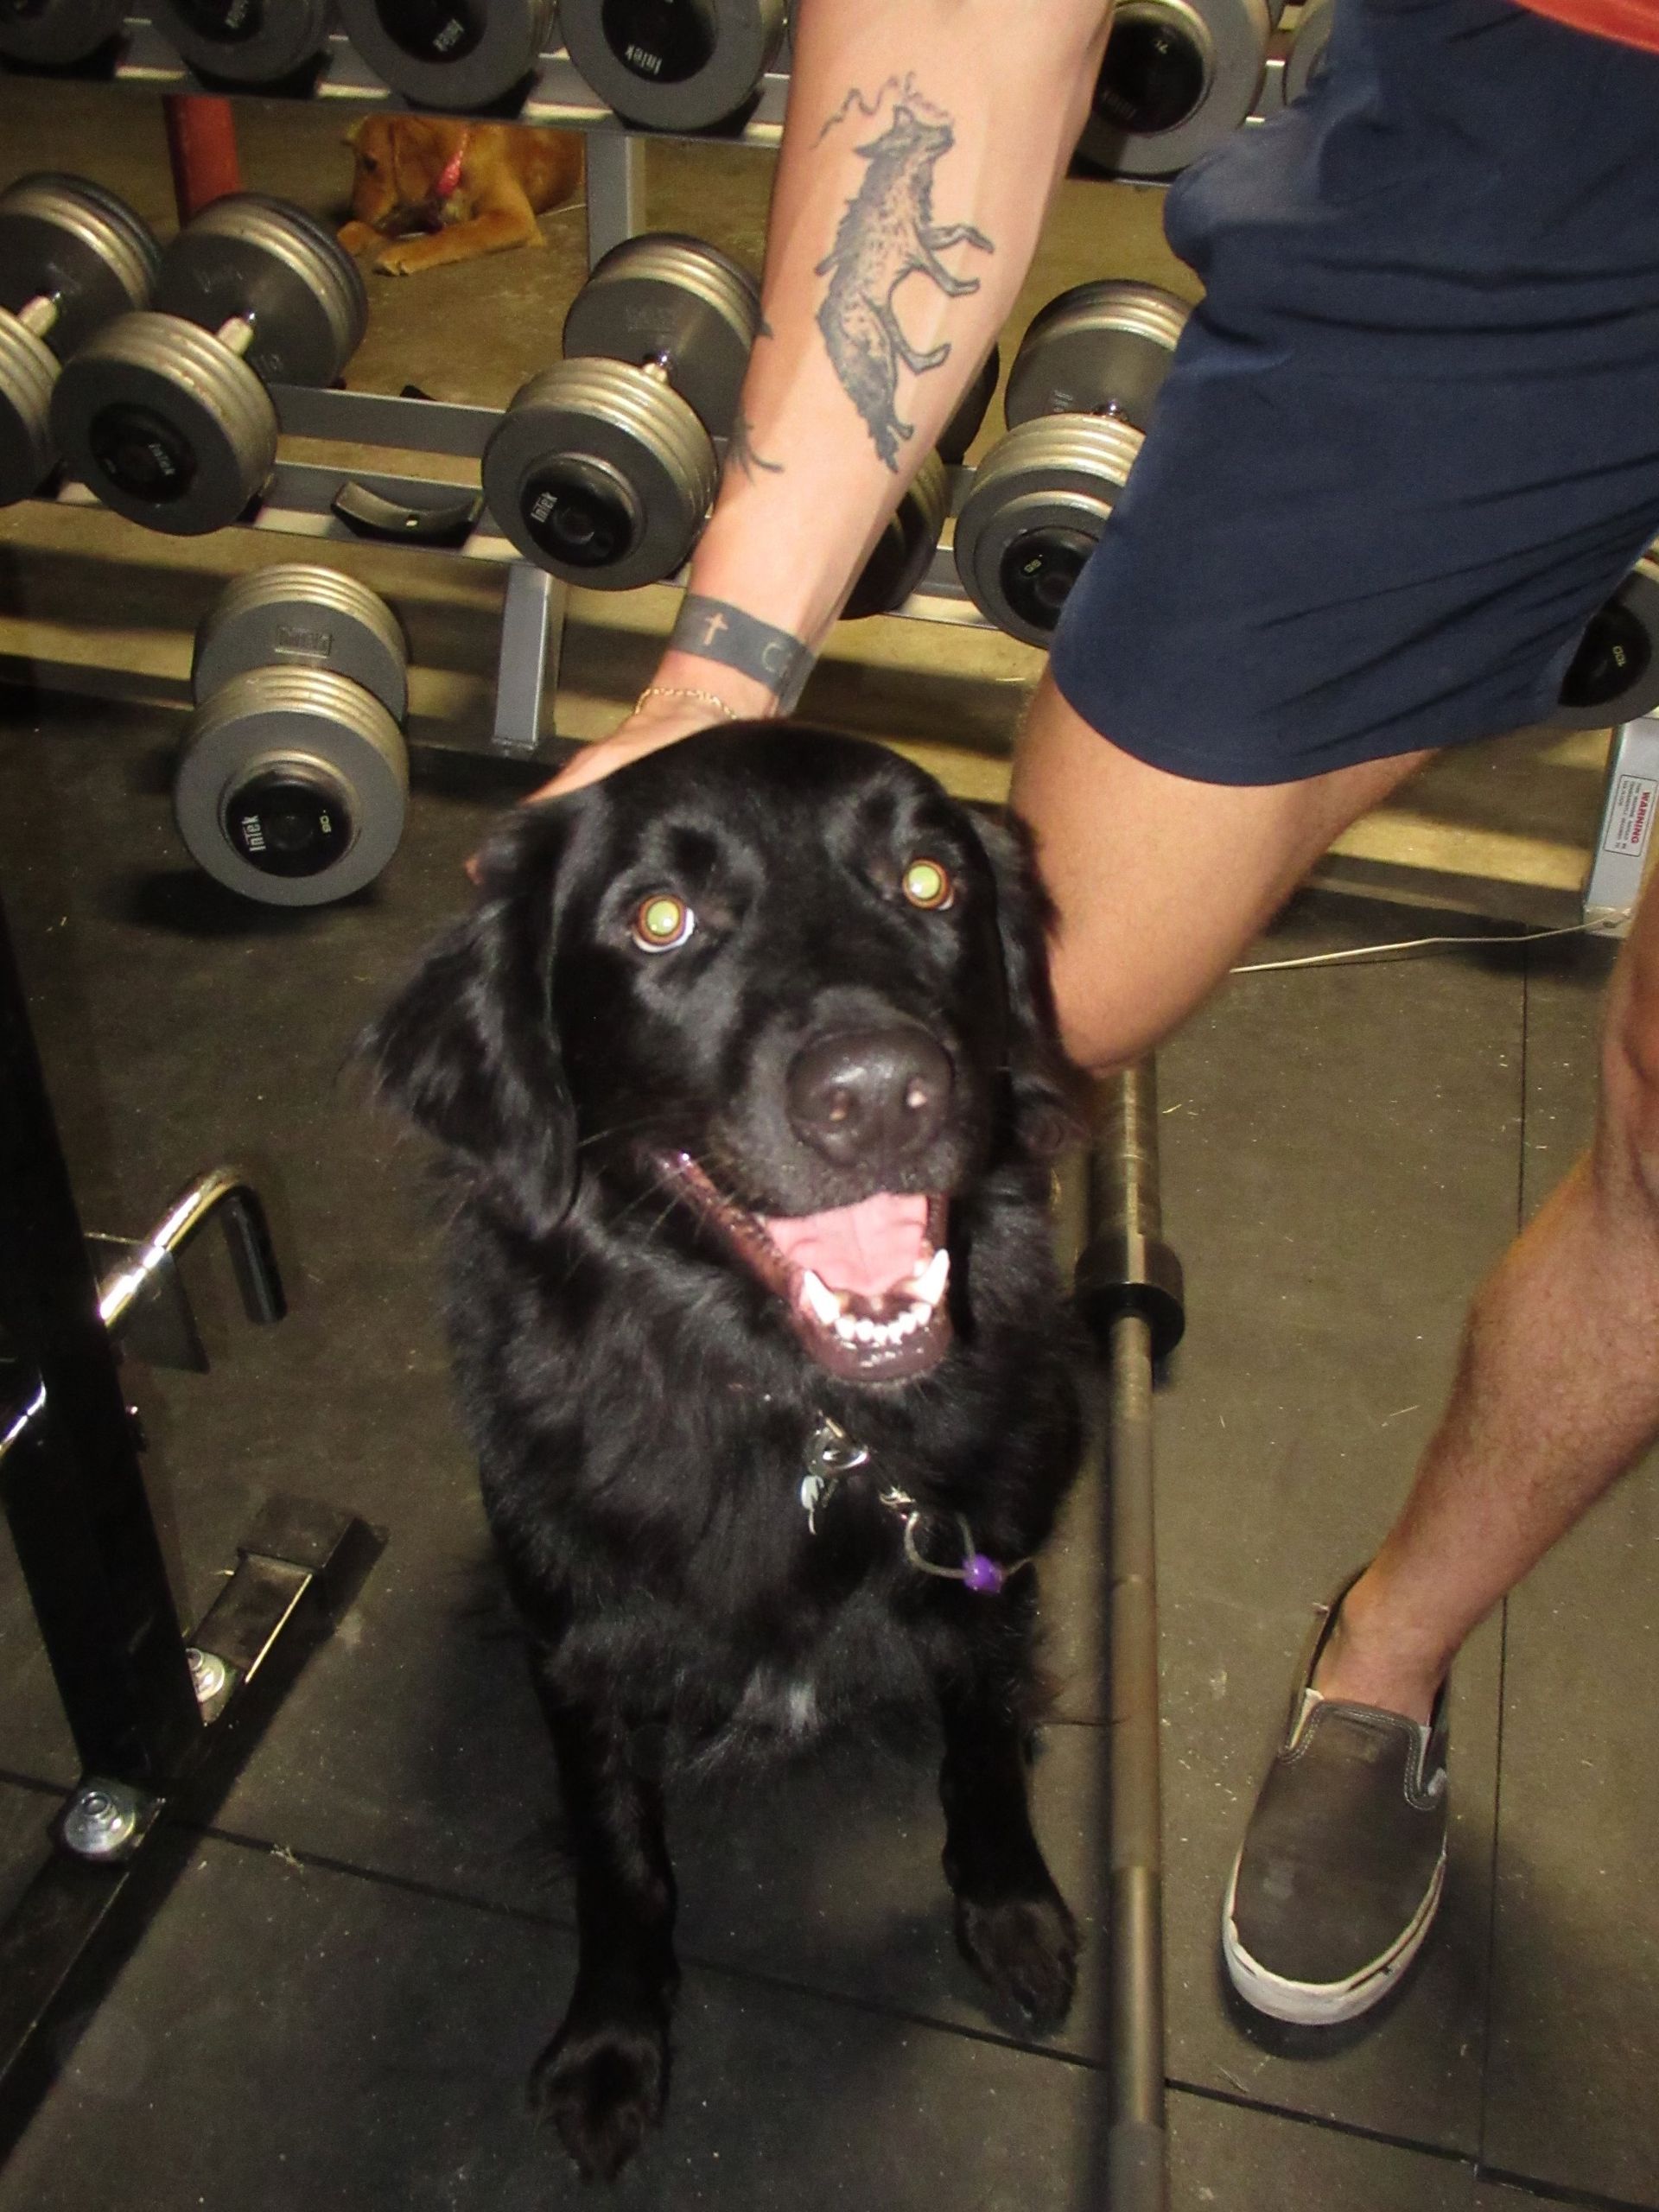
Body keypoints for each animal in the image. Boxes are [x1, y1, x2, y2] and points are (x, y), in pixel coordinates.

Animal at [340, 116, 588, 276]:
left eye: (370, 163)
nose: (353, 211)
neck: (457, 164)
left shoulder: (515, 219)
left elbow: (455, 233)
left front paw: (406, 252)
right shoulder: (419, 208)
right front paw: (344, 238)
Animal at [366, 725, 1092, 2177]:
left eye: (929, 880)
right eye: (661, 920)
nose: (880, 1095)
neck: (796, 1416)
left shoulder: (982, 1579)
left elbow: (985, 1751)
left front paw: (1011, 1909)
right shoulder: (578, 1647)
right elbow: (619, 1860)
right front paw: (611, 2042)